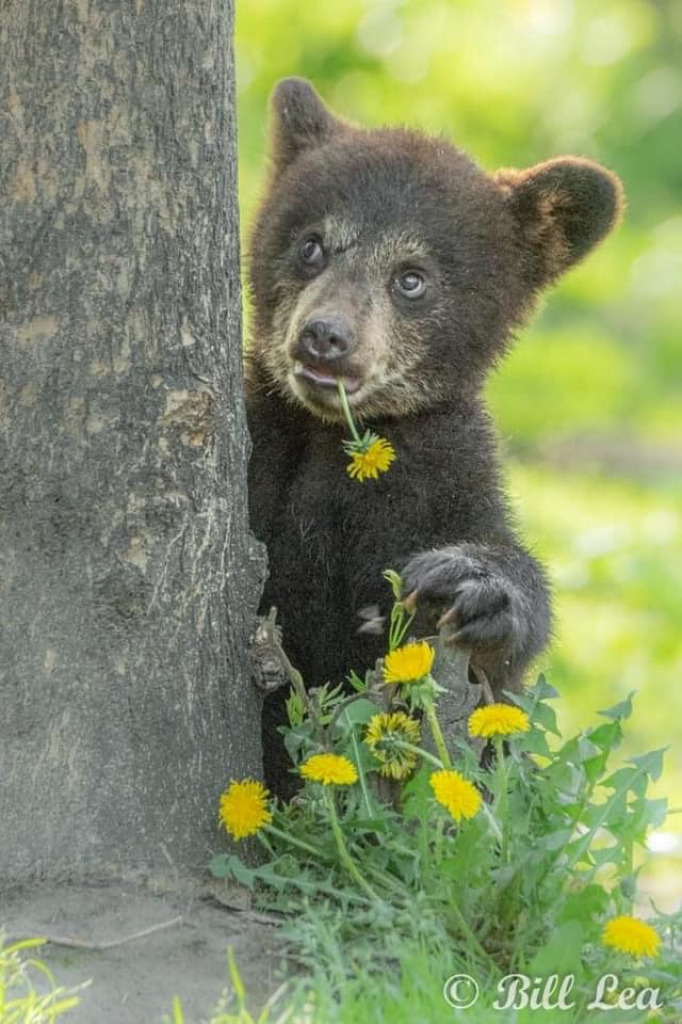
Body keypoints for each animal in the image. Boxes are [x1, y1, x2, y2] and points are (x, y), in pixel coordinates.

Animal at [245, 78, 623, 797]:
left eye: (412, 279)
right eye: (312, 245)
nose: (324, 337)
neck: (337, 440)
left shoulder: (441, 475)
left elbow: (498, 658)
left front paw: (472, 584)